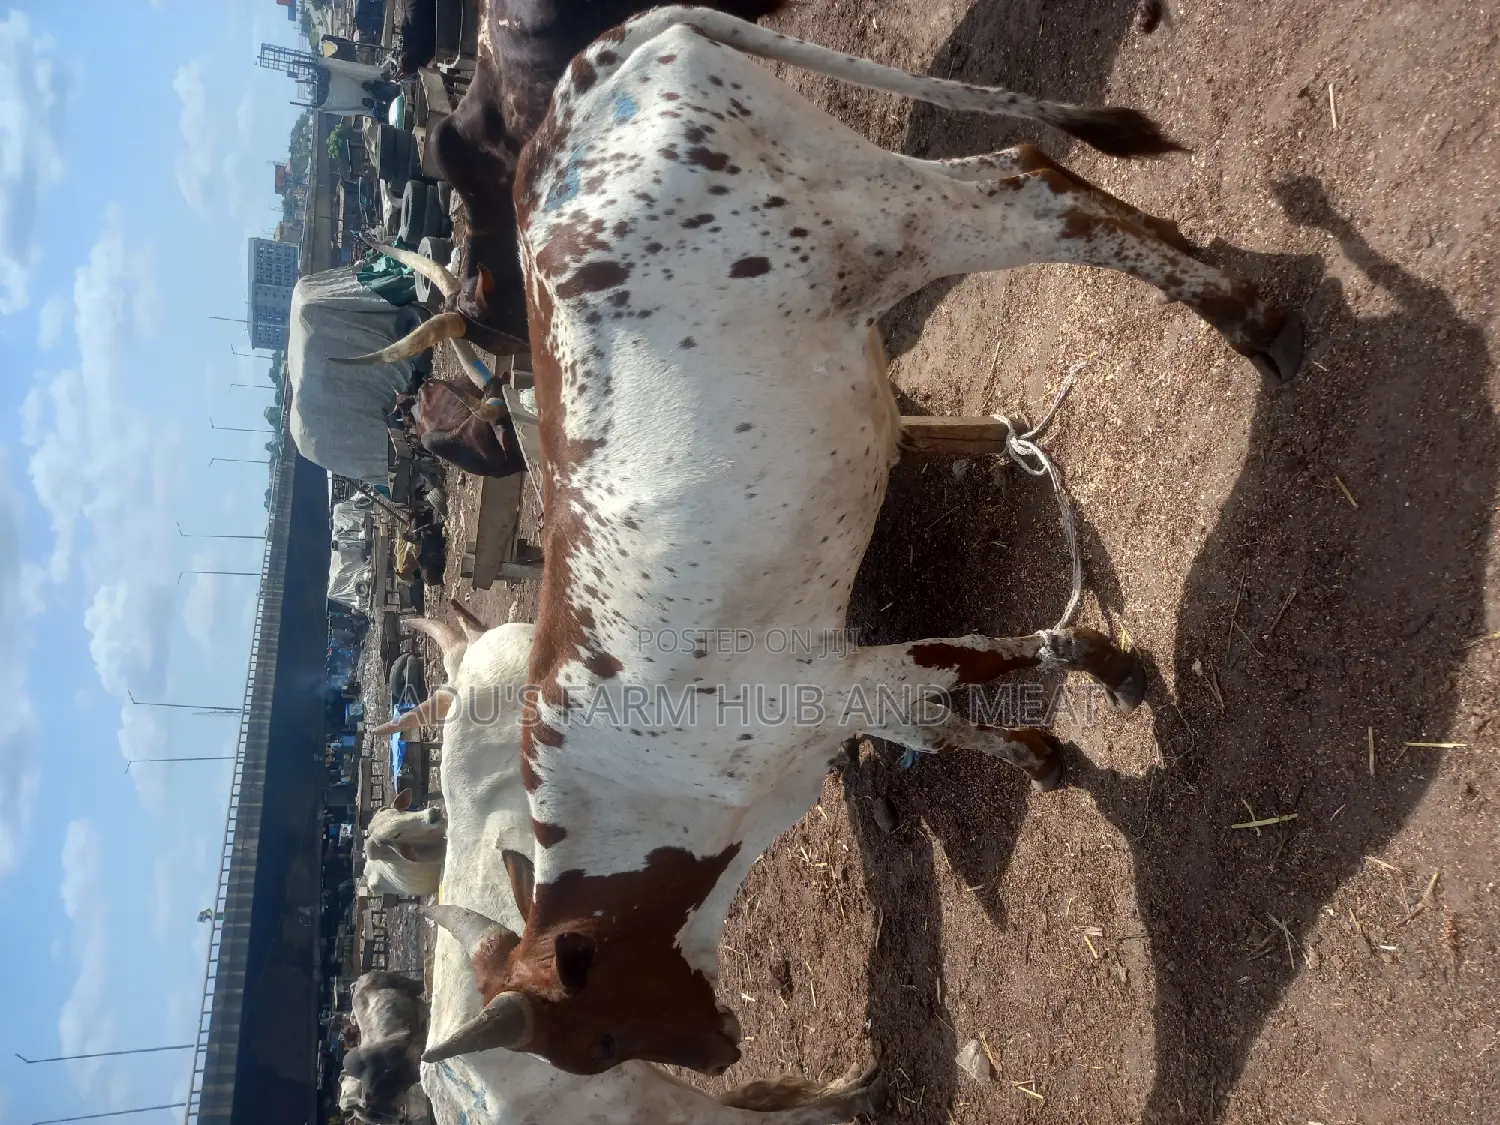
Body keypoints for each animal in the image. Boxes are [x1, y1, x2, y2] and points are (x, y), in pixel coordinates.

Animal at [340, 970, 430, 1125]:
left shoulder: (414, 1052)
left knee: (417, 985)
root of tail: (359, 980)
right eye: (374, 1120)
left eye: (376, 1114)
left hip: (401, 982)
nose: (401, 1120)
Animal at [409, 6, 1304, 1078]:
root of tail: (579, 96)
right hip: (838, 172)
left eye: (601, 1037)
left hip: (876, 231)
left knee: (1037, 189)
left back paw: (1249, 315)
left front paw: (1103, 659)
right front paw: (1040, 751)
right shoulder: (852, 697)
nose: (721, 1052)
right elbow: (943, 722)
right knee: (1026, 160)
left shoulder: (843, 682)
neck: (650, 796)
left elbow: (989, 654)